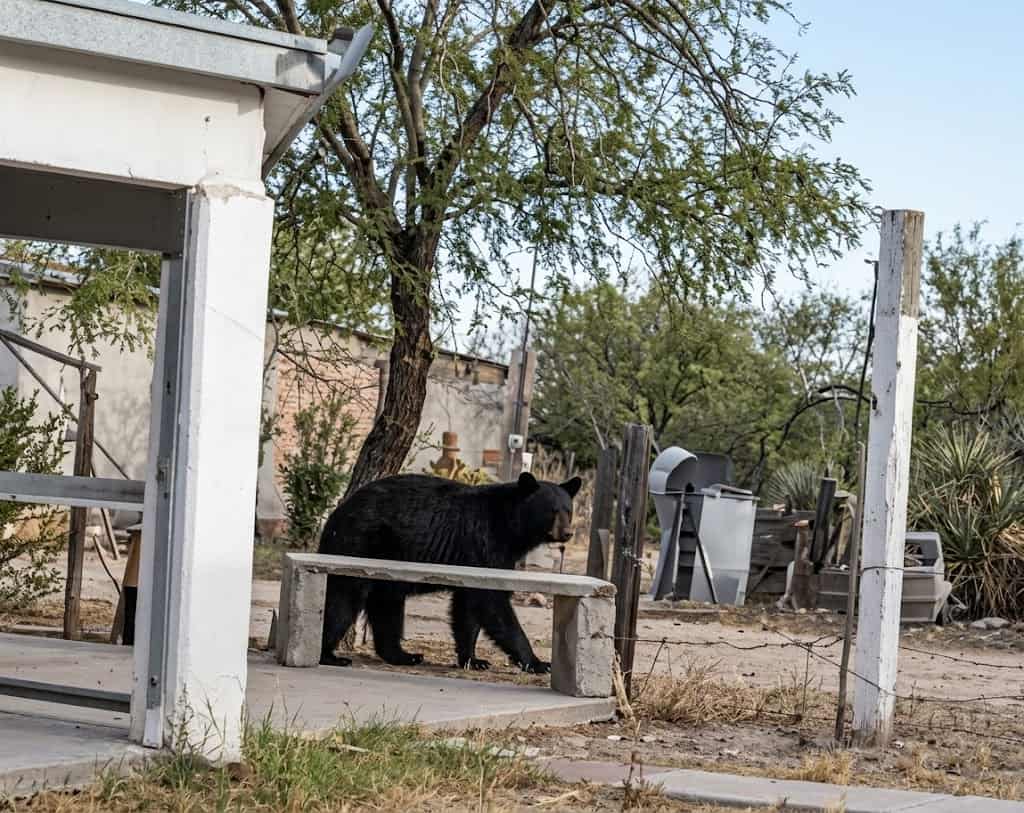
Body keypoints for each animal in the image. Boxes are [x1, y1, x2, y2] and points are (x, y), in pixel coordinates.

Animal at [317, 471, 582, 674]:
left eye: (568, 510)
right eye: (551, 511)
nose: (567, 533)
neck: (510, 528)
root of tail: (335, 516)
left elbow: (468, 608)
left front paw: (473, 660)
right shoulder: (483, 544)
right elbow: (493, 603)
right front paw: (538, 663)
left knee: (387, 606)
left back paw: (405, 655)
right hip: (359, 545)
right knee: (343, 601)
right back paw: (330, 655)